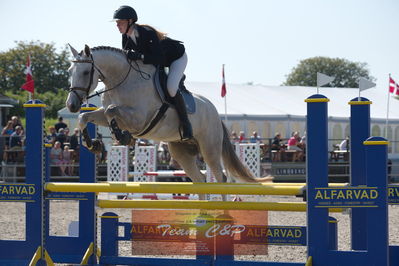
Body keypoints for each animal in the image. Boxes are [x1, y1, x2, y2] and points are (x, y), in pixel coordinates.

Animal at [67, 44, 274, 197]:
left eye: (85, 72)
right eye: (70, 71)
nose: (71, 105)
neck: (121, 81)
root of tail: (215, 112)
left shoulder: (139, 119)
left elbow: (112, 111)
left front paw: (122, 136)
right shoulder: (103, 114)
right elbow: (85, 117)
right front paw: (93, 144)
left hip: (210, 148)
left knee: (220, 178)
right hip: (180, 152)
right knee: (199, 181)